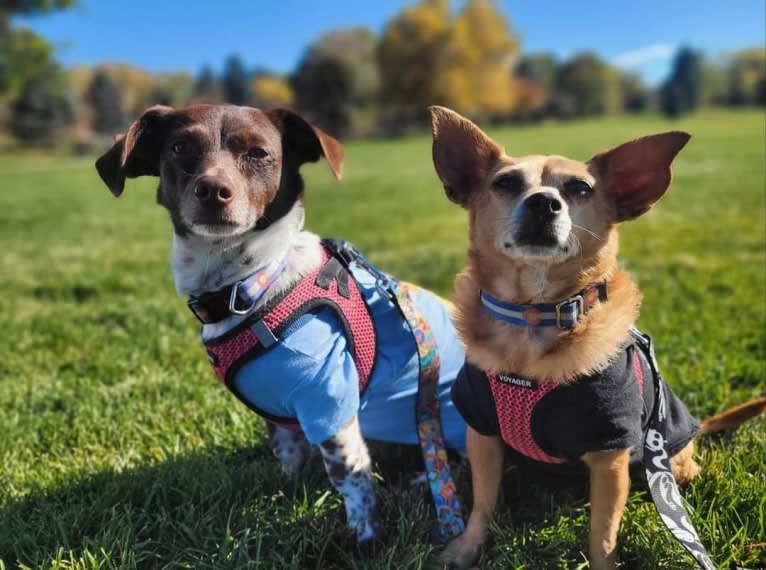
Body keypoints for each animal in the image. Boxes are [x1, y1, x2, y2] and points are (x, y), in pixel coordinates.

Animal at [432, 104, 766, 564]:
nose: (543, 203)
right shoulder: (482, 432)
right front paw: (467, 548)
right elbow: (482, 502)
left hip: (667, 458)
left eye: (580, 189)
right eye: (506, 183)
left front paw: (605, 563)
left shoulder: (610, 453)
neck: (535, 318)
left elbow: (603, 532)